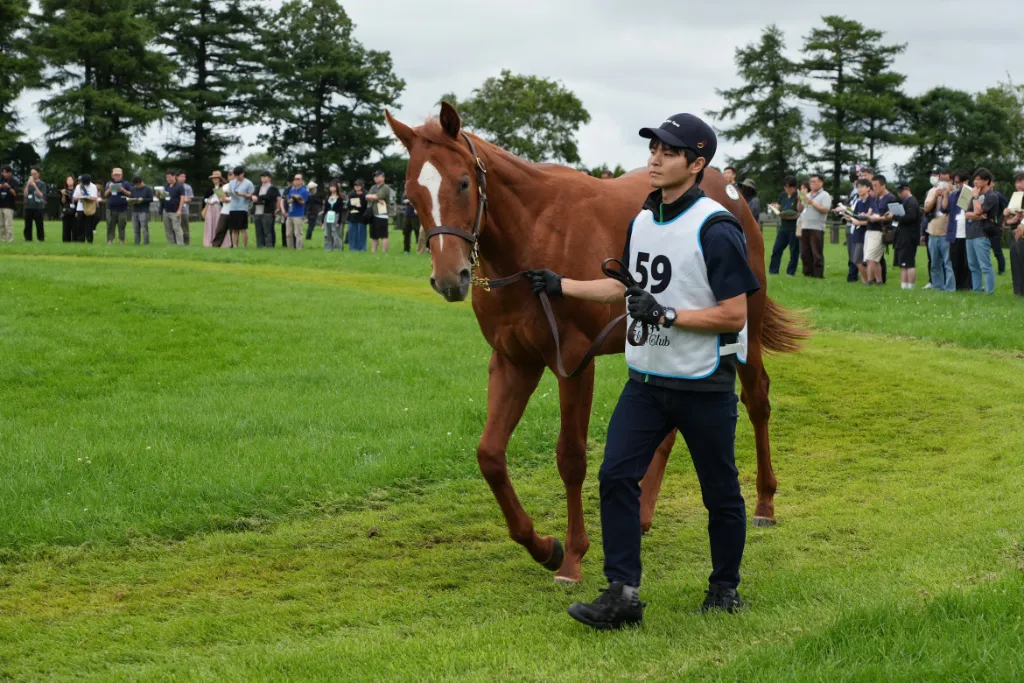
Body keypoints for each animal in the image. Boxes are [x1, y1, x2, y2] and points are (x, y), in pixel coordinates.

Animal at [386, 102, 807, 583]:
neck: (534, 234)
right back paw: (642, 513)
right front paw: (543, 546)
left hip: (741, 335)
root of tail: (733, 192)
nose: (448, 278)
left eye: (461, 182)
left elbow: (570, 458)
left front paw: (572, 556)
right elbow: (490, 455)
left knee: (757, 400)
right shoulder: (514, 361)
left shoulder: (573, 362)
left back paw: (765, 503)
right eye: (411, 193)